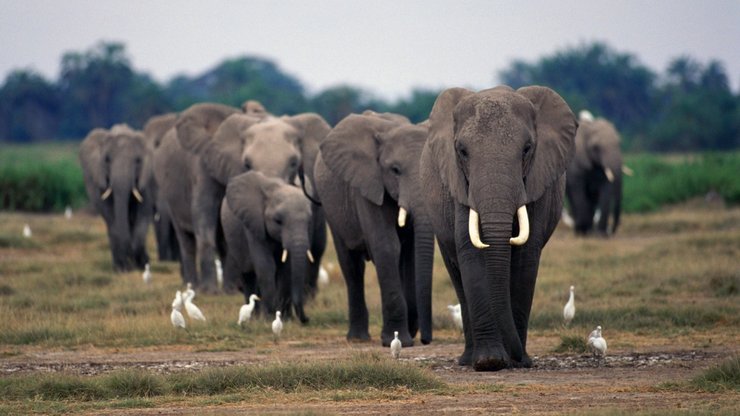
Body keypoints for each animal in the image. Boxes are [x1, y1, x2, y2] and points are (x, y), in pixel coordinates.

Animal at [79, 123, 155, 272]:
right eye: (107, 159)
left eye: (138, 160)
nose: (129, 261)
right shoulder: (98, 179)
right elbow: (109, 214)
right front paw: (122, 268)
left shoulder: (147, 178)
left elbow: (143, 212)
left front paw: (141, 264)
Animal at [218, 171, 314, 324]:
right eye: (278, 221)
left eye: (309, 221)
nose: (307, 319)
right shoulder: (253, 223)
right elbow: (265, 266)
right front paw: (269, 319)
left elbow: (286, 270)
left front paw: (286, 319)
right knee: (248, 275)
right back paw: (254, 317)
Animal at [312, 112, 434, 346]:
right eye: (395, 170)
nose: (425, 340)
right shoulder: (368, 184)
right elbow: (387, 246)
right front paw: (397, 340)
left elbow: (410, 252)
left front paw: (405, 336)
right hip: (331, 208)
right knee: (351, 266)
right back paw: (357, 338)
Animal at [422, 86, 580, 372]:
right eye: (462, 151)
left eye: (527, 149)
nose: (516, 357)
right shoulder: (461, 186)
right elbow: (470, 252)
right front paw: (490, 362)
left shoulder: (536, 182)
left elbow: (525, 257)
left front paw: (517, 362)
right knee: (457, 274)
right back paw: (468, 360)